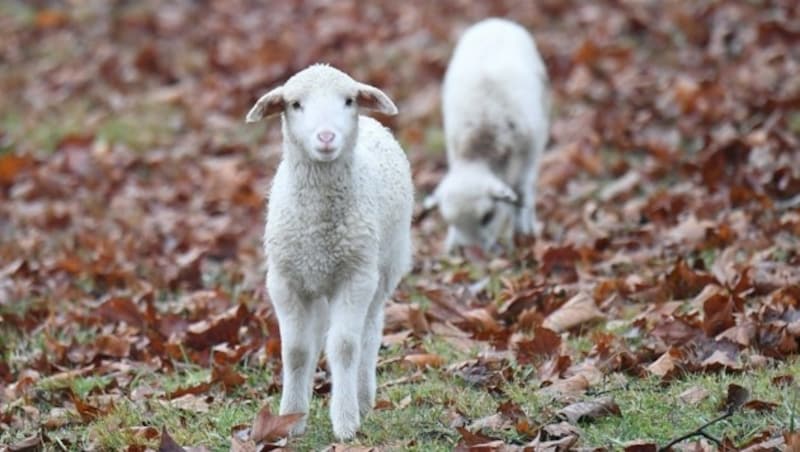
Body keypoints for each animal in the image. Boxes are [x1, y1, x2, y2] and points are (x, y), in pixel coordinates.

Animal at [245, 65, 416, 440]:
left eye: (348, 100)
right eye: (295, 104)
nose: (326, 137)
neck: (318, 227)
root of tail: (374, 124)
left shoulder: (355, 277)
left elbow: (344, 347)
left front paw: (346, 422)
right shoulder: (285, 281)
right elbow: (296, 351)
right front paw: (291, 418)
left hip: (383, 267)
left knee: (369, 333)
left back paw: (363, 397)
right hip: (316, 280)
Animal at [424, 18, 552, 251]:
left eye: (487, 216)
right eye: (449, 221)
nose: (470, 253)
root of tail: (496, 22)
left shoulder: (530, 152)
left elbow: (522, 192)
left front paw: (522, 234)